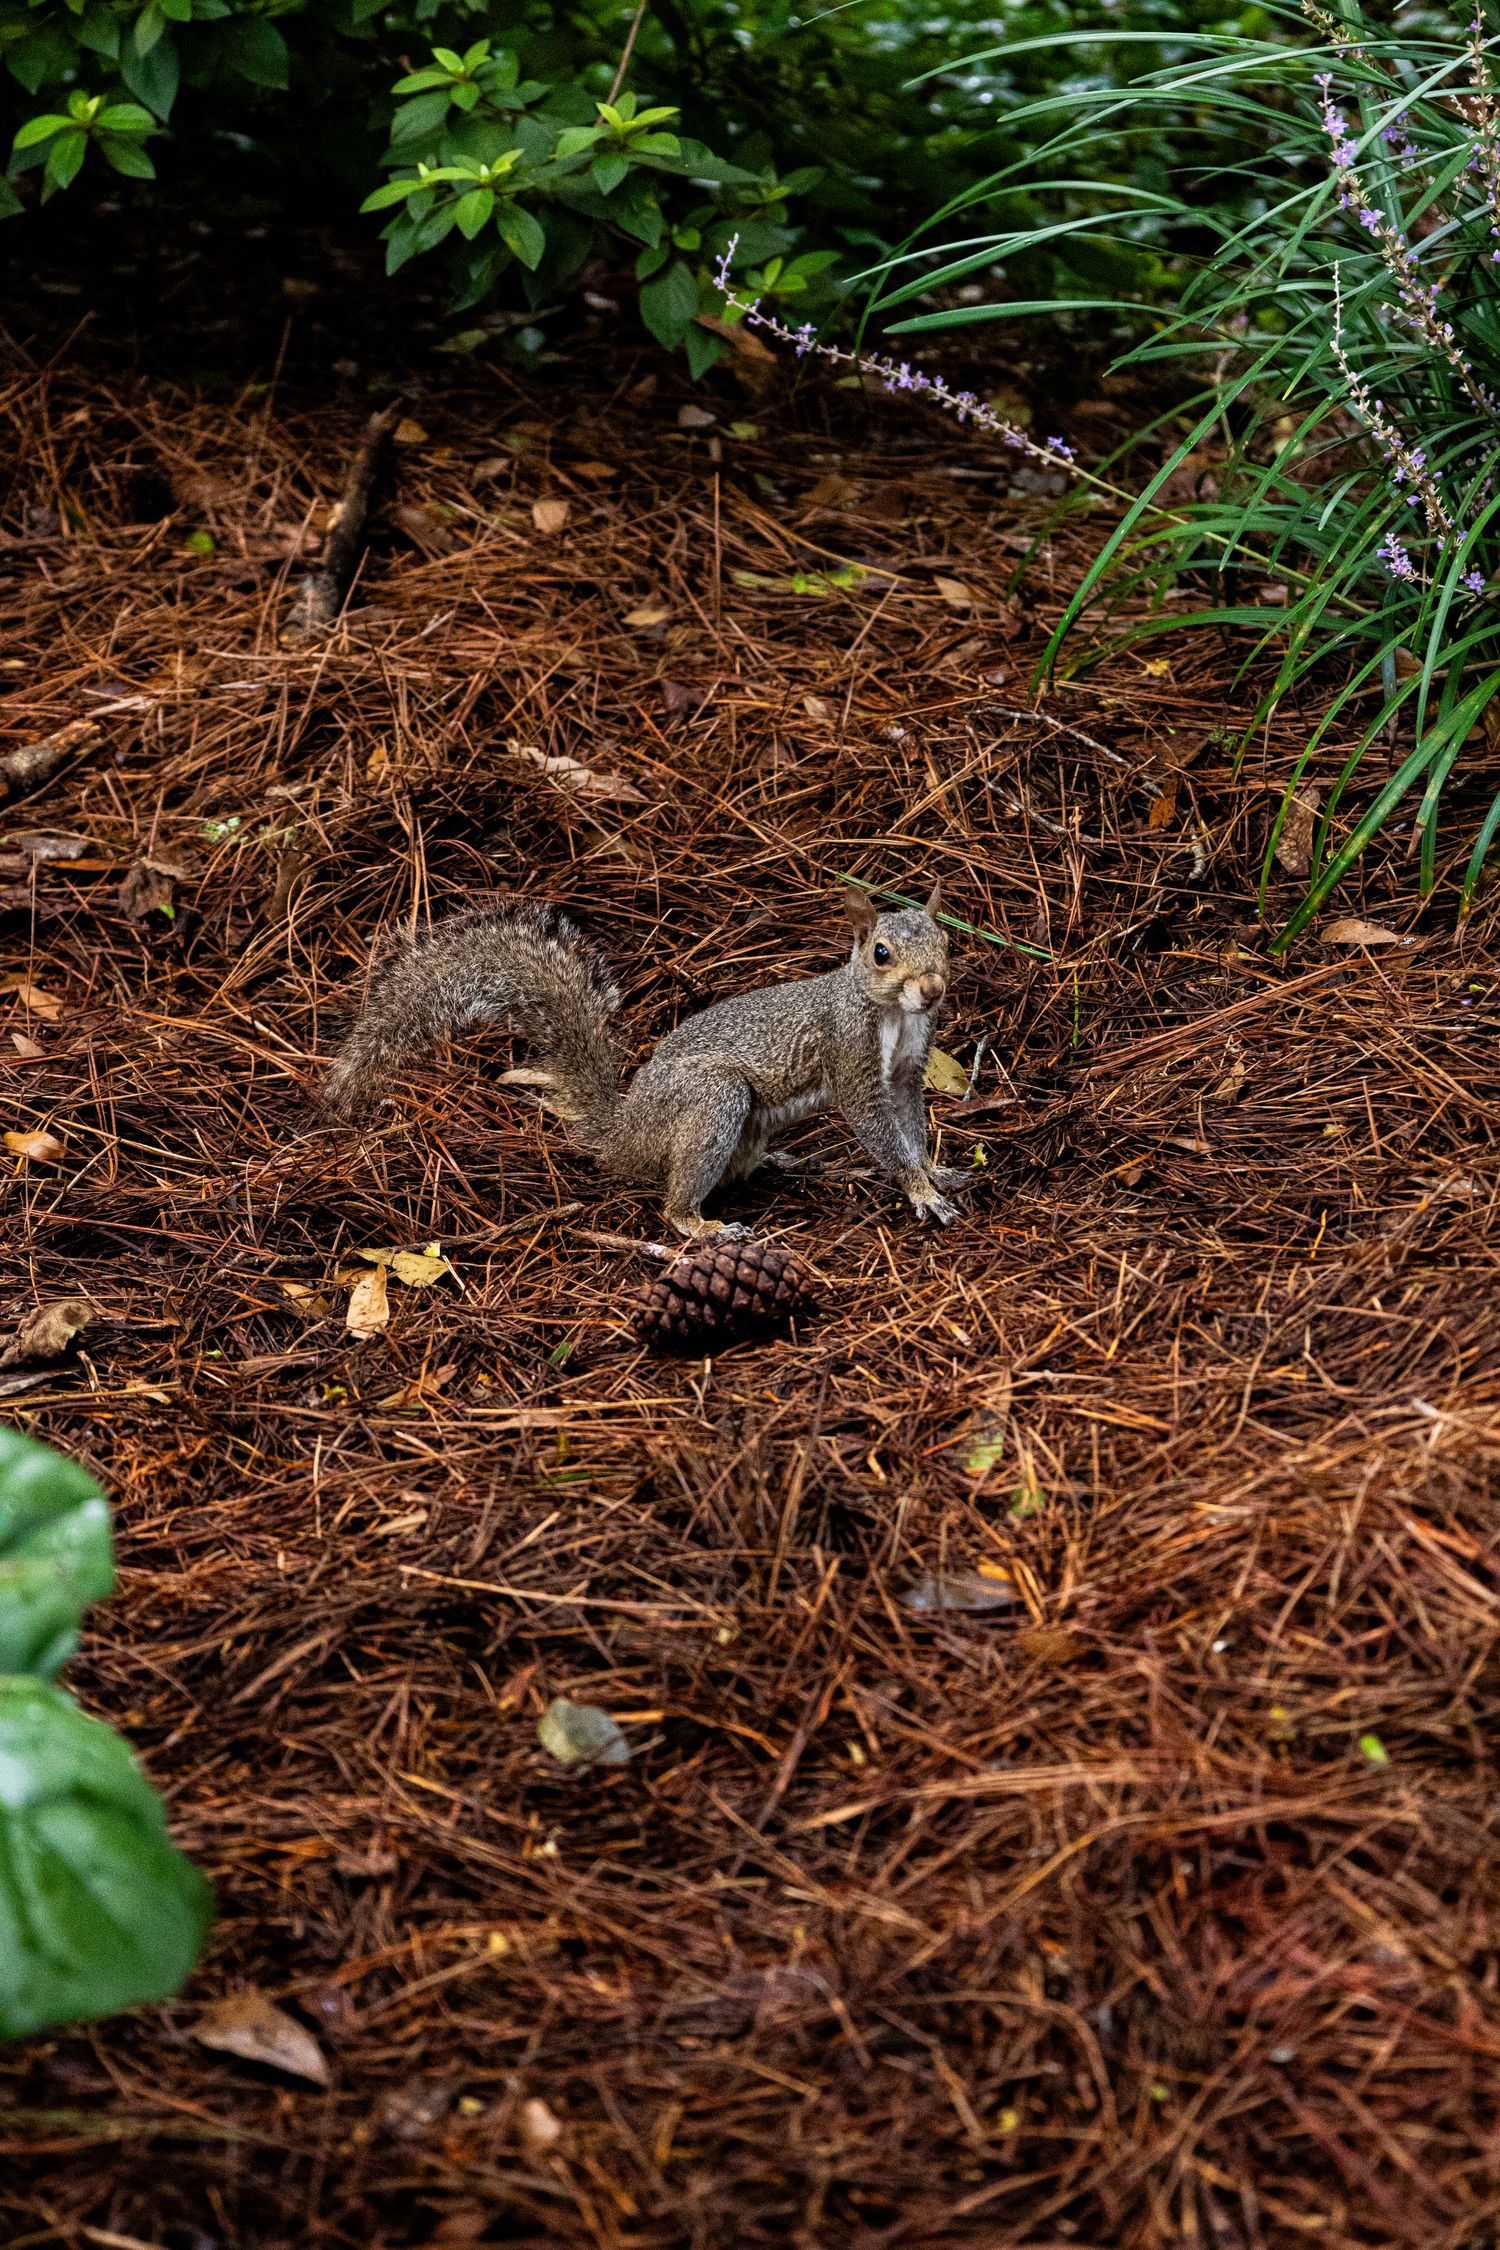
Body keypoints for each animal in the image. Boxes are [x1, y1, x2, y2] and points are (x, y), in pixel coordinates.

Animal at [323, 882, 971, 1239]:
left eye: (947, 940)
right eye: (881, 953)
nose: (933, 989)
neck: (893, 1014)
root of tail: (627, 1133)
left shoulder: (907, 1071)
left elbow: (911, 1124)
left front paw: (935, 1170)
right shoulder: (850, 1055)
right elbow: (878, 1128)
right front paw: (919, 1188)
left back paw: (787, 1162)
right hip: (712, 1102)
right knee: (673, 1200)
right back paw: (704, 1226)